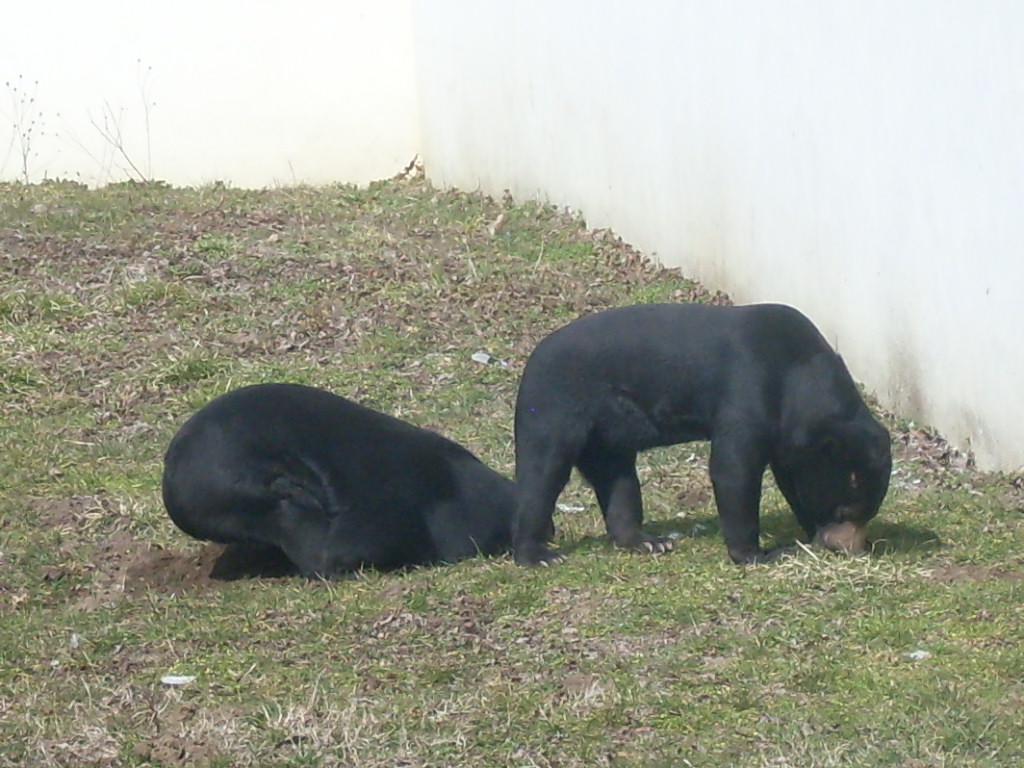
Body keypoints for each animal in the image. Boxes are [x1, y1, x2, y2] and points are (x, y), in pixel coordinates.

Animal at [512, 302, 892, 566]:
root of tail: (531, 359)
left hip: (607, 438)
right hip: (552, 405)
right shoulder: (748, 390)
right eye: (844, 512)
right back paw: (538, 554)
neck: (799, 371)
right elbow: (733, 469)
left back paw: (648, 541)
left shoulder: (789, 436)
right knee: (541, 473)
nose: (851, 548)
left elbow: (790, 477)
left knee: (619, 481)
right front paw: (760, 554)